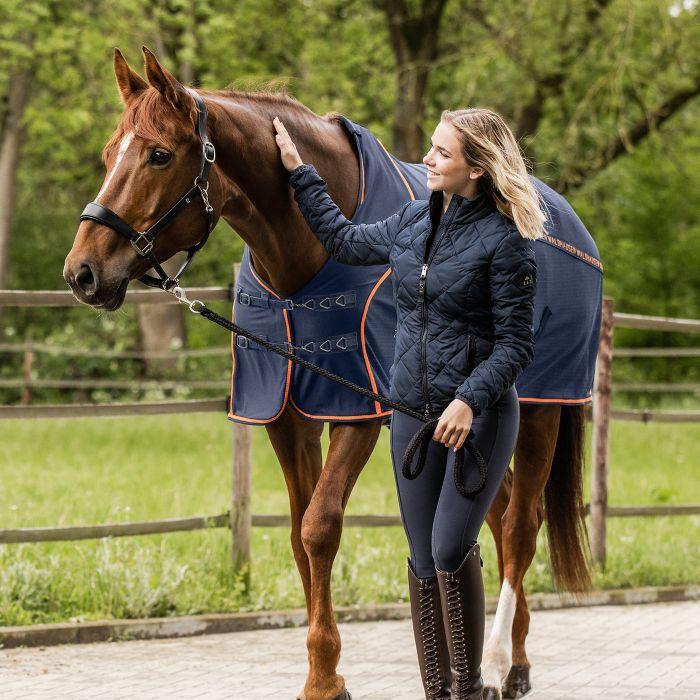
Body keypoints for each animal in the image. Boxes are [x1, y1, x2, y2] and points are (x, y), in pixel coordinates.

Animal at [64, 46, 600, 696]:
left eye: (160, 154)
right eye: (108, 153)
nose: (83, 272)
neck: (302, 258)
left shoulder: (360, 411)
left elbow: (321, 528)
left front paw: (324, 677)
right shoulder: (286, 415)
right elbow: (300, 535)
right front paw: (324, 672)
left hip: (539, 411)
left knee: (522, 526)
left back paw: (498, 662)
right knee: (488, 522)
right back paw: (512, 661)